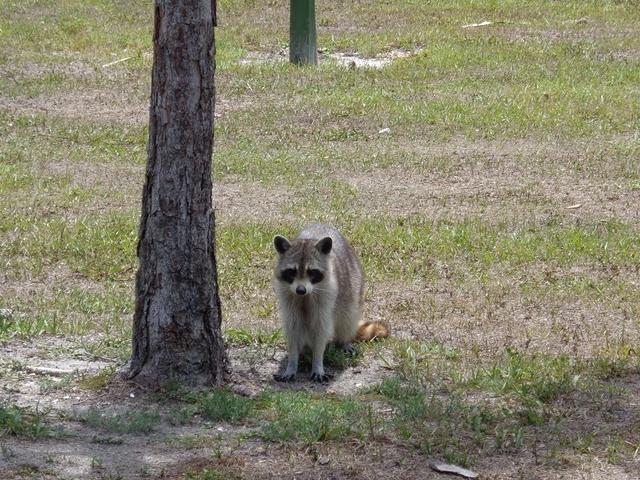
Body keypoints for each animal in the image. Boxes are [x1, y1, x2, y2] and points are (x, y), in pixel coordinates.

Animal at [272, 223, 388, 384]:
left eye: (312, 272)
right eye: (292, 271)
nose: (300, 290)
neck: (305, 297)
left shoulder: (326, 298)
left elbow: (321, 332)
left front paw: (317, 363)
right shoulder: (288, 299)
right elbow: (293, 331)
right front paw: (292, 363)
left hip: (353, 288)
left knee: (347, 318)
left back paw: (344, 341)